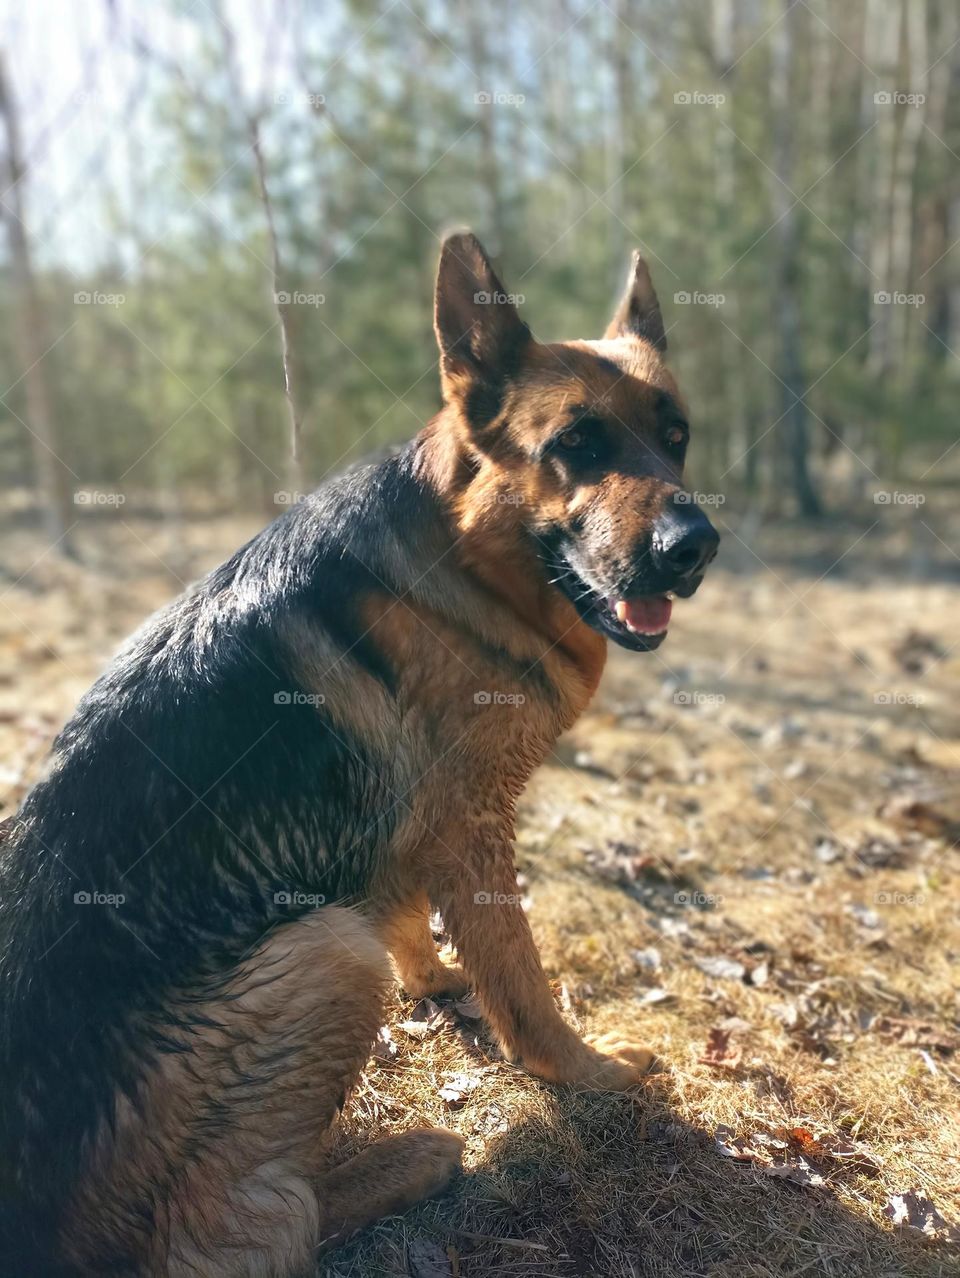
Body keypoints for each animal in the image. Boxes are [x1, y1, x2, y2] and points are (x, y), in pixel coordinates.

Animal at [1, 235, 720, 1272]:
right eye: (578, 445)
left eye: (676, 437)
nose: (697, 545)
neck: (467, 556)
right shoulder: (474, 826)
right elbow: (525, 984)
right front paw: (587, 1073)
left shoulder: (425, 829)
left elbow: (413, 909)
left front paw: (436, 981)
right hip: (325, 955)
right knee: (228, 1240)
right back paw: (409, 1163)